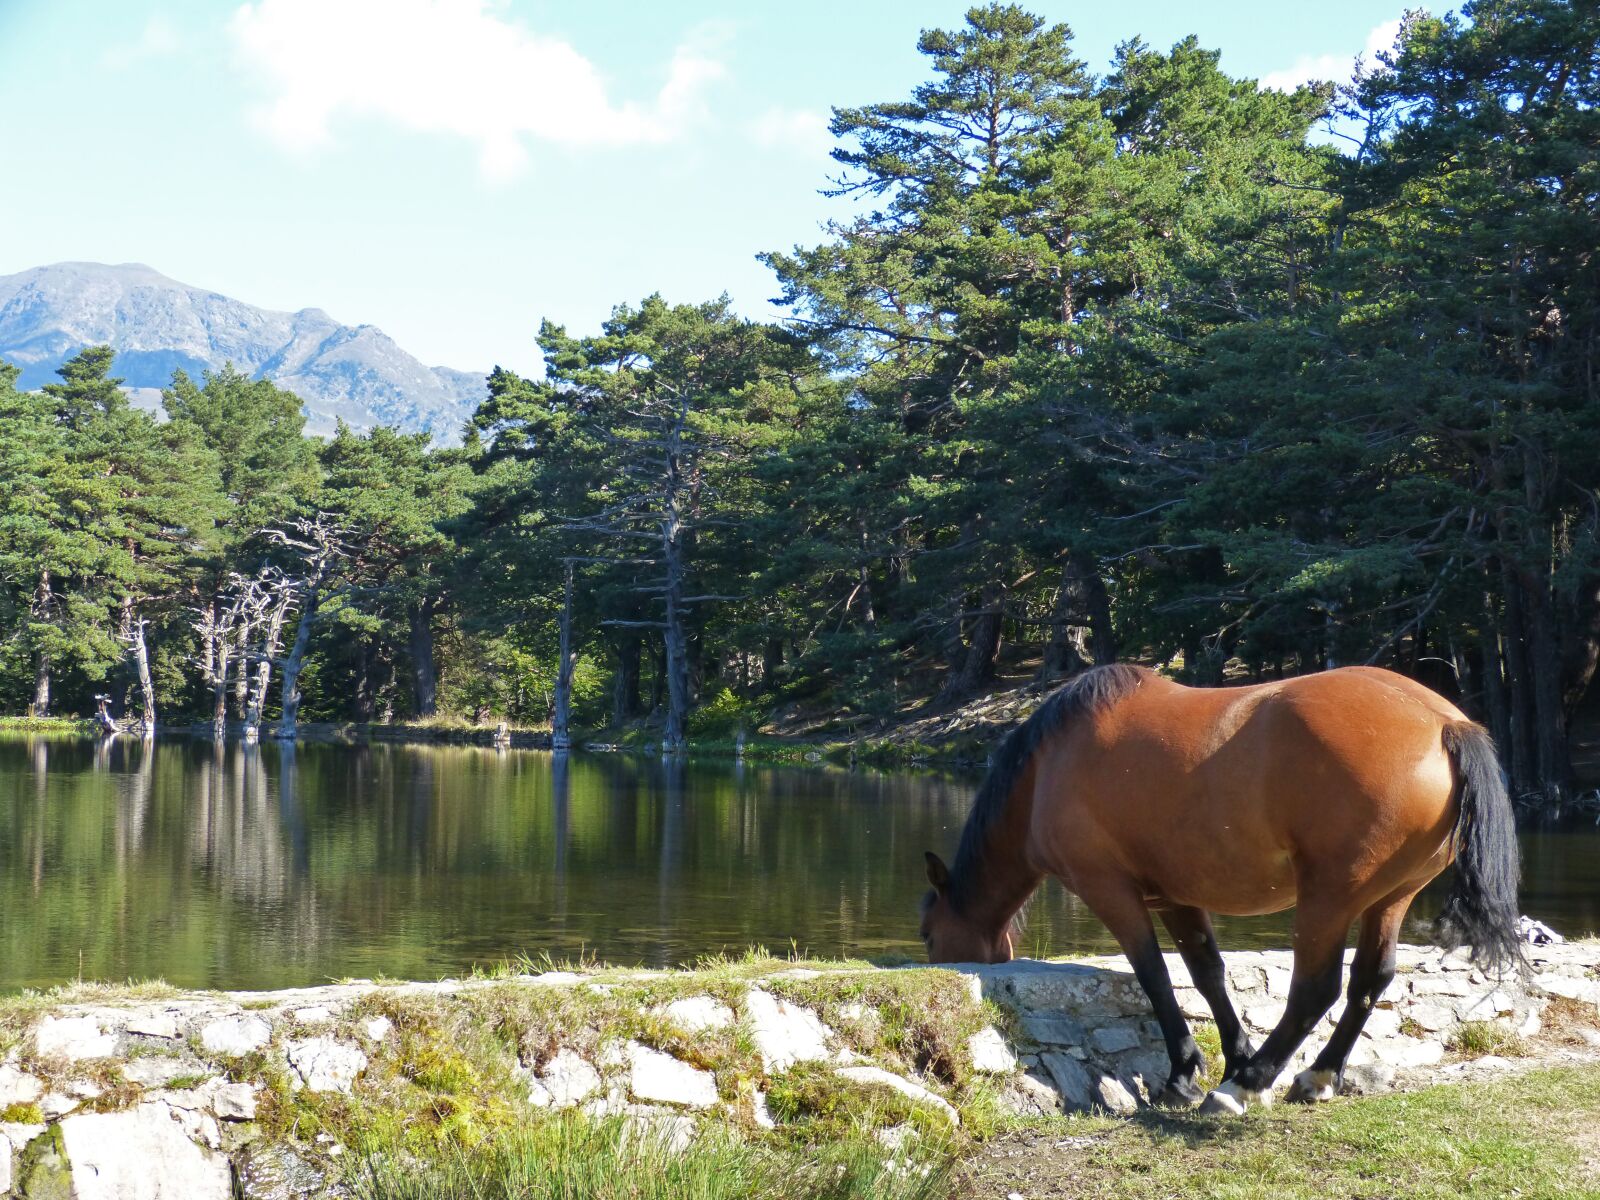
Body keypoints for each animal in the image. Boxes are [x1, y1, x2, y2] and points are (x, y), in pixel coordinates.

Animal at [919, 663, 1523, 1114]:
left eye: (927, 934)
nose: (932, 956)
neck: (1050, 764)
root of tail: (1443, 724)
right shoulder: (1176, 896)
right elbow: (1207, 973)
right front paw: (1230, 1055)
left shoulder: (1108, 889)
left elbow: (1154, 974)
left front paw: (1190, 1073)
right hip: (1389, 898)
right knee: (1369, 981)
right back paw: (1315, 1076)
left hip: (1329, 898)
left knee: (1316, 989)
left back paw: (1246, 1087)